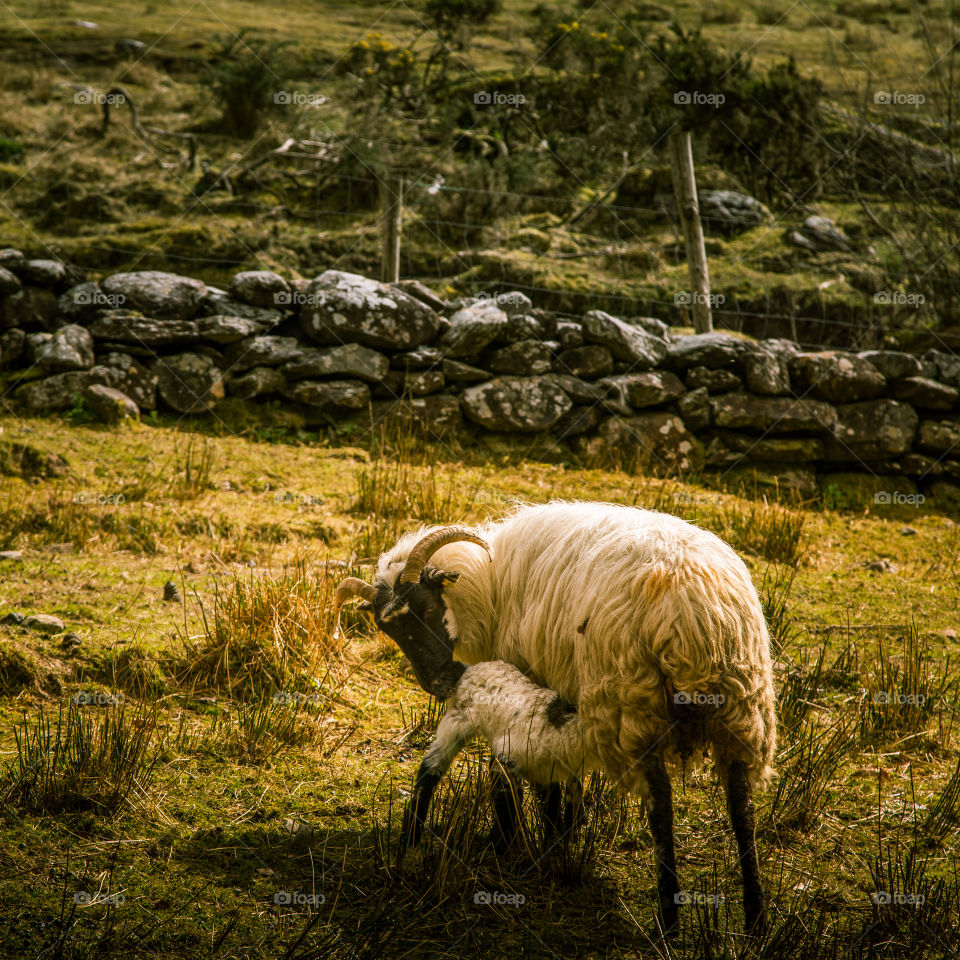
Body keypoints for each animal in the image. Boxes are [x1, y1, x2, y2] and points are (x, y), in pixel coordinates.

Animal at [402, 656, 596, 852]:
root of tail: (470, 668)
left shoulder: (546, 772)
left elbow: (554, 801)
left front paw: (557, 841)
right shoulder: (508, 758)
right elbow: (508, 803)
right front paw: (505, 846)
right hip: (457, 723)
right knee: (429, 770)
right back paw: (410, 836)